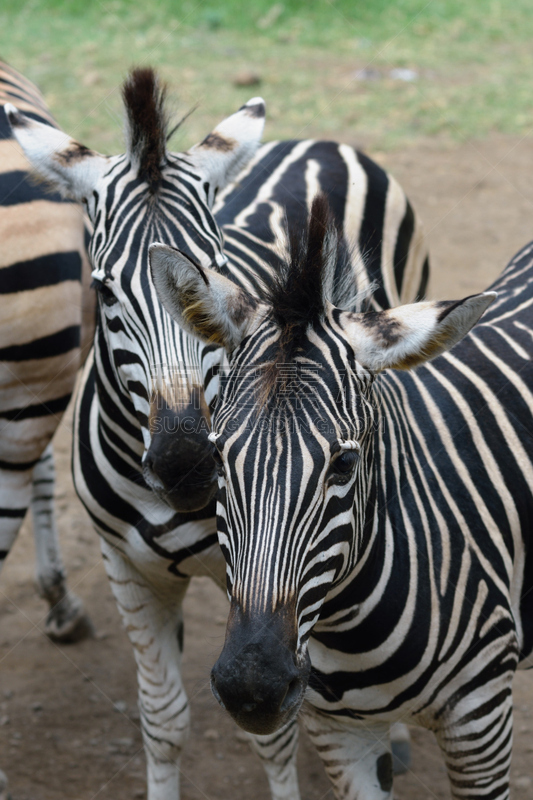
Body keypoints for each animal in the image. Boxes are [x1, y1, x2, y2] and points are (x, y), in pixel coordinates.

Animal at [7, 70, 428, 800]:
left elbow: (273, 735)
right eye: (103, 291)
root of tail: (324, 144)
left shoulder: (265, 579)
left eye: (213, 277)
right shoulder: (129, 572)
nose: (184, 462)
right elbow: (162, 719)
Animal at [151, 195, 532, 800]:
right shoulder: (339, 734)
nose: (250, 688)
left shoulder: (482, 717)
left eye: (345, 465)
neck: (348, 628)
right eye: (217, 458)